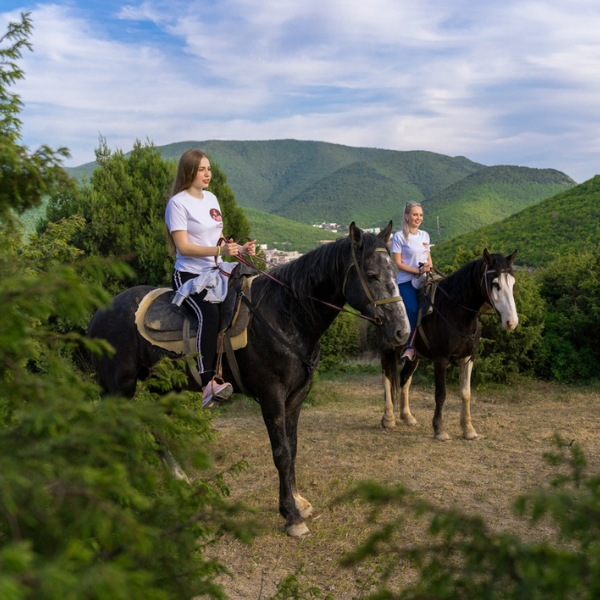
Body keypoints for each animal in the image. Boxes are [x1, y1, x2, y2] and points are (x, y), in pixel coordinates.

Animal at [86, 223, 410, 536]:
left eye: (396, 273)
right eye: (371, 275)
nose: (401, 331)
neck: (286, 313)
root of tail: (99, 313)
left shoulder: (296, 397)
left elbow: (293, 447)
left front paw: (298, 502)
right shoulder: (271, 395)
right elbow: (281, 453)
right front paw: (291, 517)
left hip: (161, 388)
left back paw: (179, 482)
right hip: (119, 387)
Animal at [382, 248, 516, 440]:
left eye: (513, 283)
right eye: (496, 283)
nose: (511, 322)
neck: (455, 312)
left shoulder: (467, 358)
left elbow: (466, 393)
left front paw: (468, 429)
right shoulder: (441, 359)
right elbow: (440, 394)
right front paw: (439, 429)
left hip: (415, 356)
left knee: (405, 378)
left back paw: (407, 416)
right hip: (387, 348)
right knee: (387, 377)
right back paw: (388, 418)